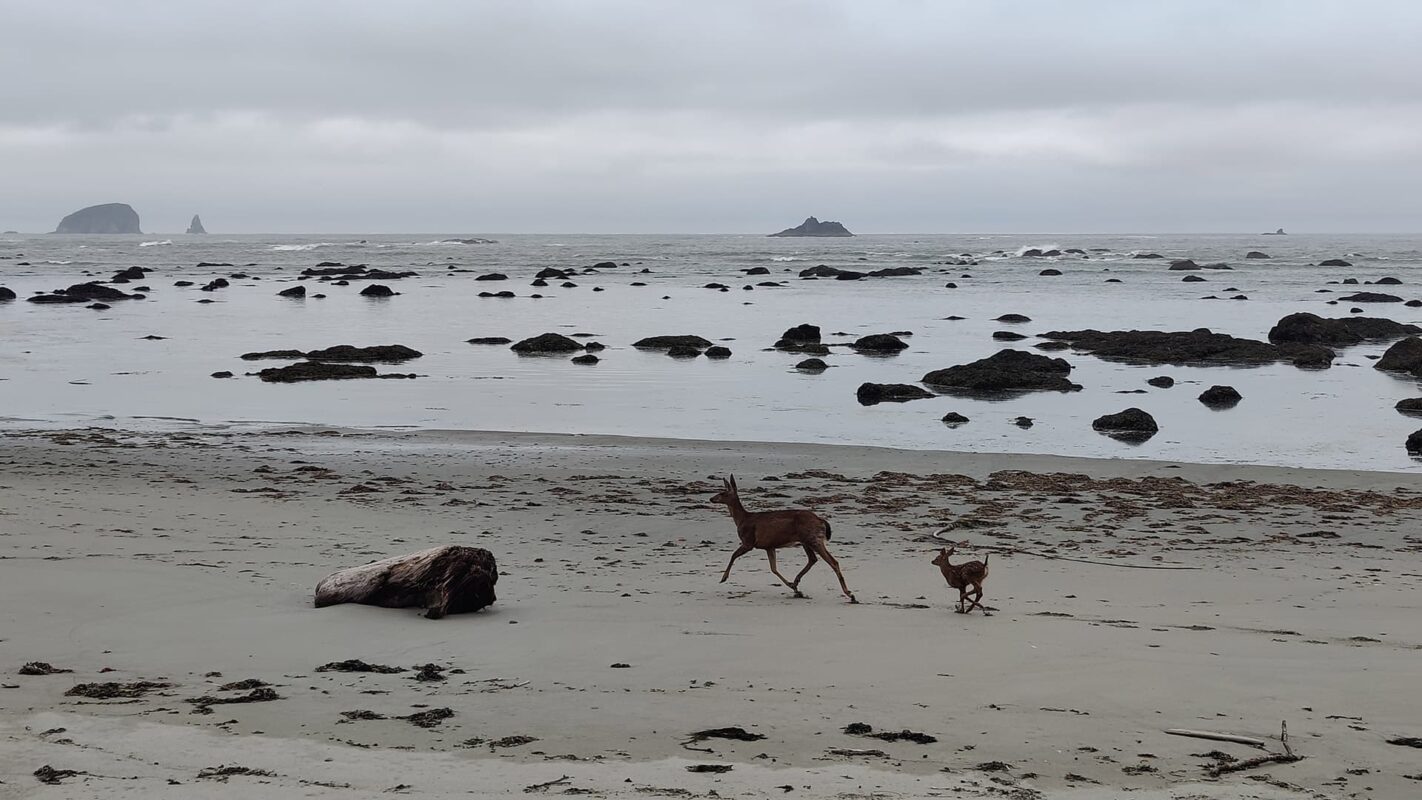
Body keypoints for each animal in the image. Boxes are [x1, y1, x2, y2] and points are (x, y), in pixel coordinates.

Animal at [711, 474, 853, 602]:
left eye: (723, 493)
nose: (711, 498)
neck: (742, 519)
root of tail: (821, 520)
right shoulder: (769, 546)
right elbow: (773, 569)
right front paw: (793, 588)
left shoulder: (748, 541)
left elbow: (733, 555)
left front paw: (723, 578)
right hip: (806, 541)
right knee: (813, 559)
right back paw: (796, 582)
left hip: (813, 538)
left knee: (832, 561)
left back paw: (850, 594)